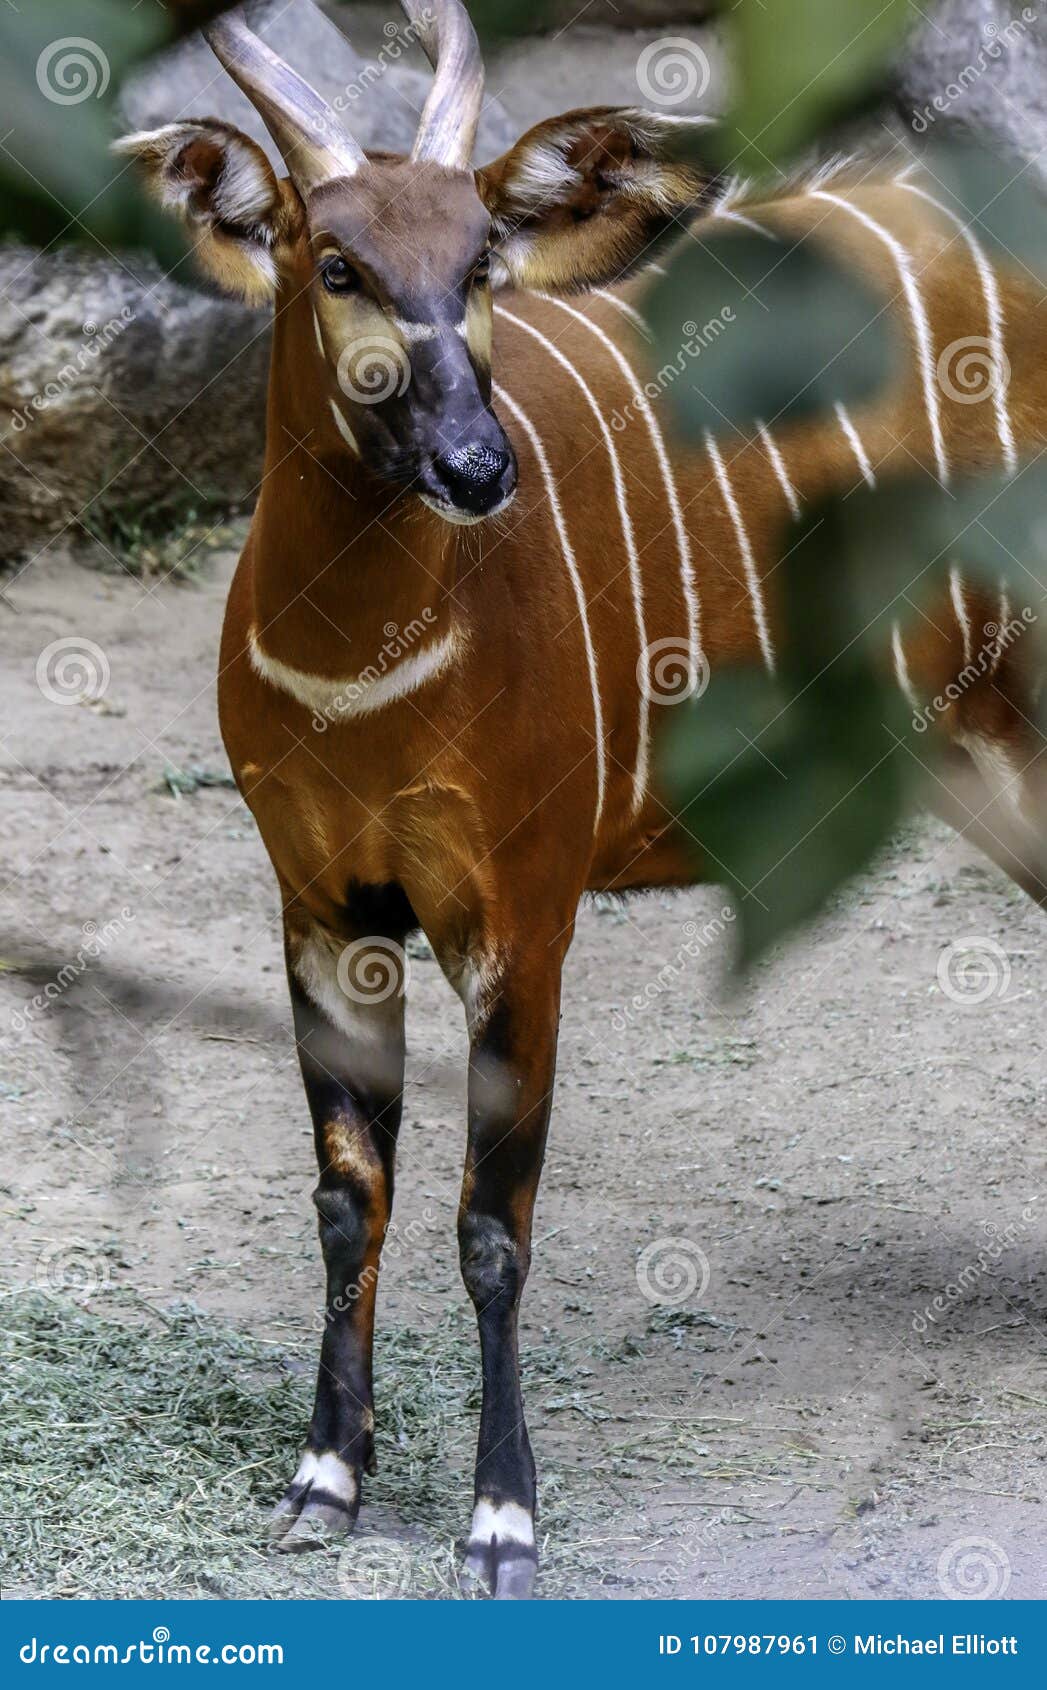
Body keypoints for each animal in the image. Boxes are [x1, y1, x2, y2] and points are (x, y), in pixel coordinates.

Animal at [118, 0, 1047, 1597]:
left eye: (481, 257)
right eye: (336, 263)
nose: (474, 464)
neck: (362, 672)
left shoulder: (520, 911)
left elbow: (492, 1221)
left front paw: (501, 1521)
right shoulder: (324, 908)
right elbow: (345, 1194)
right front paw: (322, 1482)